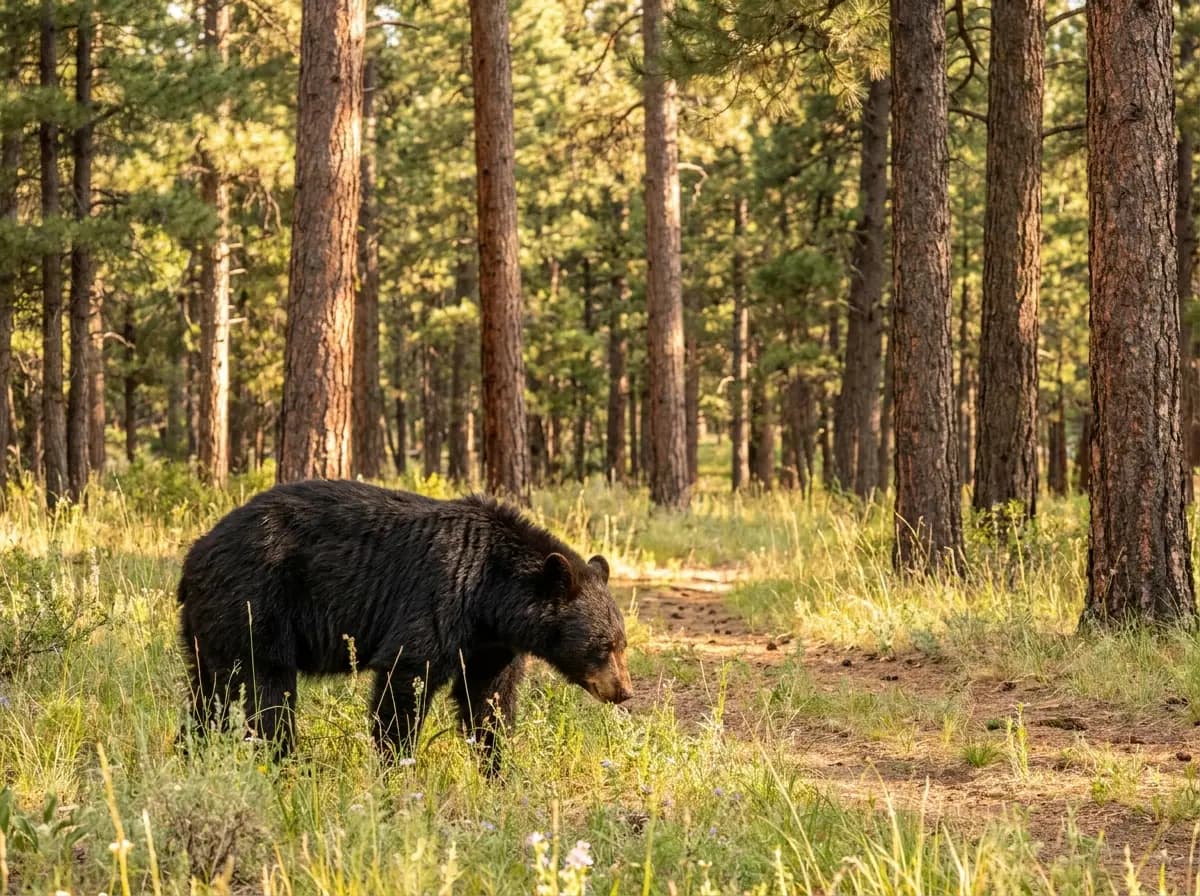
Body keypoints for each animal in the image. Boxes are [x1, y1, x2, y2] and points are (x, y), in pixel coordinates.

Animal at [176, 479, 632, 773]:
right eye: (603, 644)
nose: (624, 691)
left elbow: (488, 701)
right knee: (265, 691)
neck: (490, 596)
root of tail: (195, 553)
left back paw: (193, 754)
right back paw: (283, 762)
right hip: (255, 604)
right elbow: (406, 681)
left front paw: (498, 768)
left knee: (210, 695)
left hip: (210, 627)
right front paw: (396, 765)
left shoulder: (491, 644)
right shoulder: (439, 598)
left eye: (623, 643)